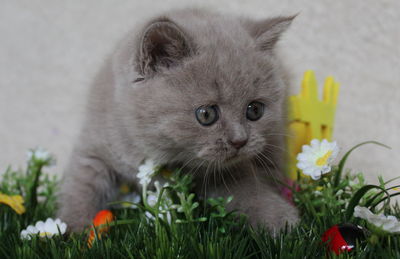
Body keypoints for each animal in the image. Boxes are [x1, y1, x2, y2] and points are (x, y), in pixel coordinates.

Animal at [57, 8, 298, 233]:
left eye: (255, 110)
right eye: (206, 114)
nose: (240, 140)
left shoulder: (228, 169)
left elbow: (249, 190)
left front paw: (282, 223)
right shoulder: (95, 146)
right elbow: (81, 187)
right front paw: (74, 231)